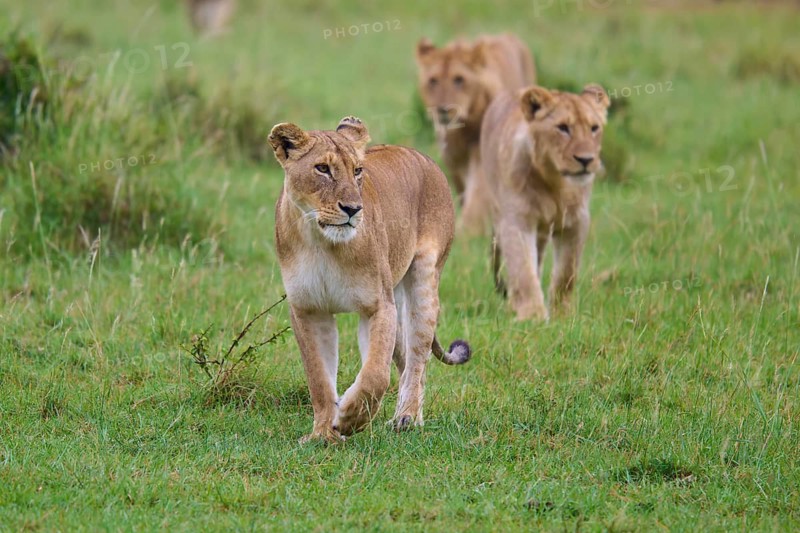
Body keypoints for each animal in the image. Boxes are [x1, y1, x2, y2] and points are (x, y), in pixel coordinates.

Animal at [269, 116, 472, 443]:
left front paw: (350, 418)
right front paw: (323, 433)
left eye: (357, 171)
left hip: (423, 282)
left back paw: (406, 418)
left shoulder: (378, 306)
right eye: (322, 169)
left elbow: (375, 374)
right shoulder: (309, 310)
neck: (321, 242)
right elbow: (318, 377)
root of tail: (426, 158)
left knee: (417, 360)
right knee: (405, 360)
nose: (353, 209)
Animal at [415, 33, 536, 232]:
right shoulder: (453, 159)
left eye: (459, 79)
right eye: (433, 80)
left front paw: (468, 230)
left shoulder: (481, 153)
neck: (463, 128)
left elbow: (478, 195)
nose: (443, 109)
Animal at [481, 84, 610, 320]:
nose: (586, 160)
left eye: (594, 128)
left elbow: (566, 274)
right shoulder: (516, 221)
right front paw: (532, 316)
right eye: (562, 128)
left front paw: (562, 316)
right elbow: (523, 269)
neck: (555, 183)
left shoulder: (576, 223)